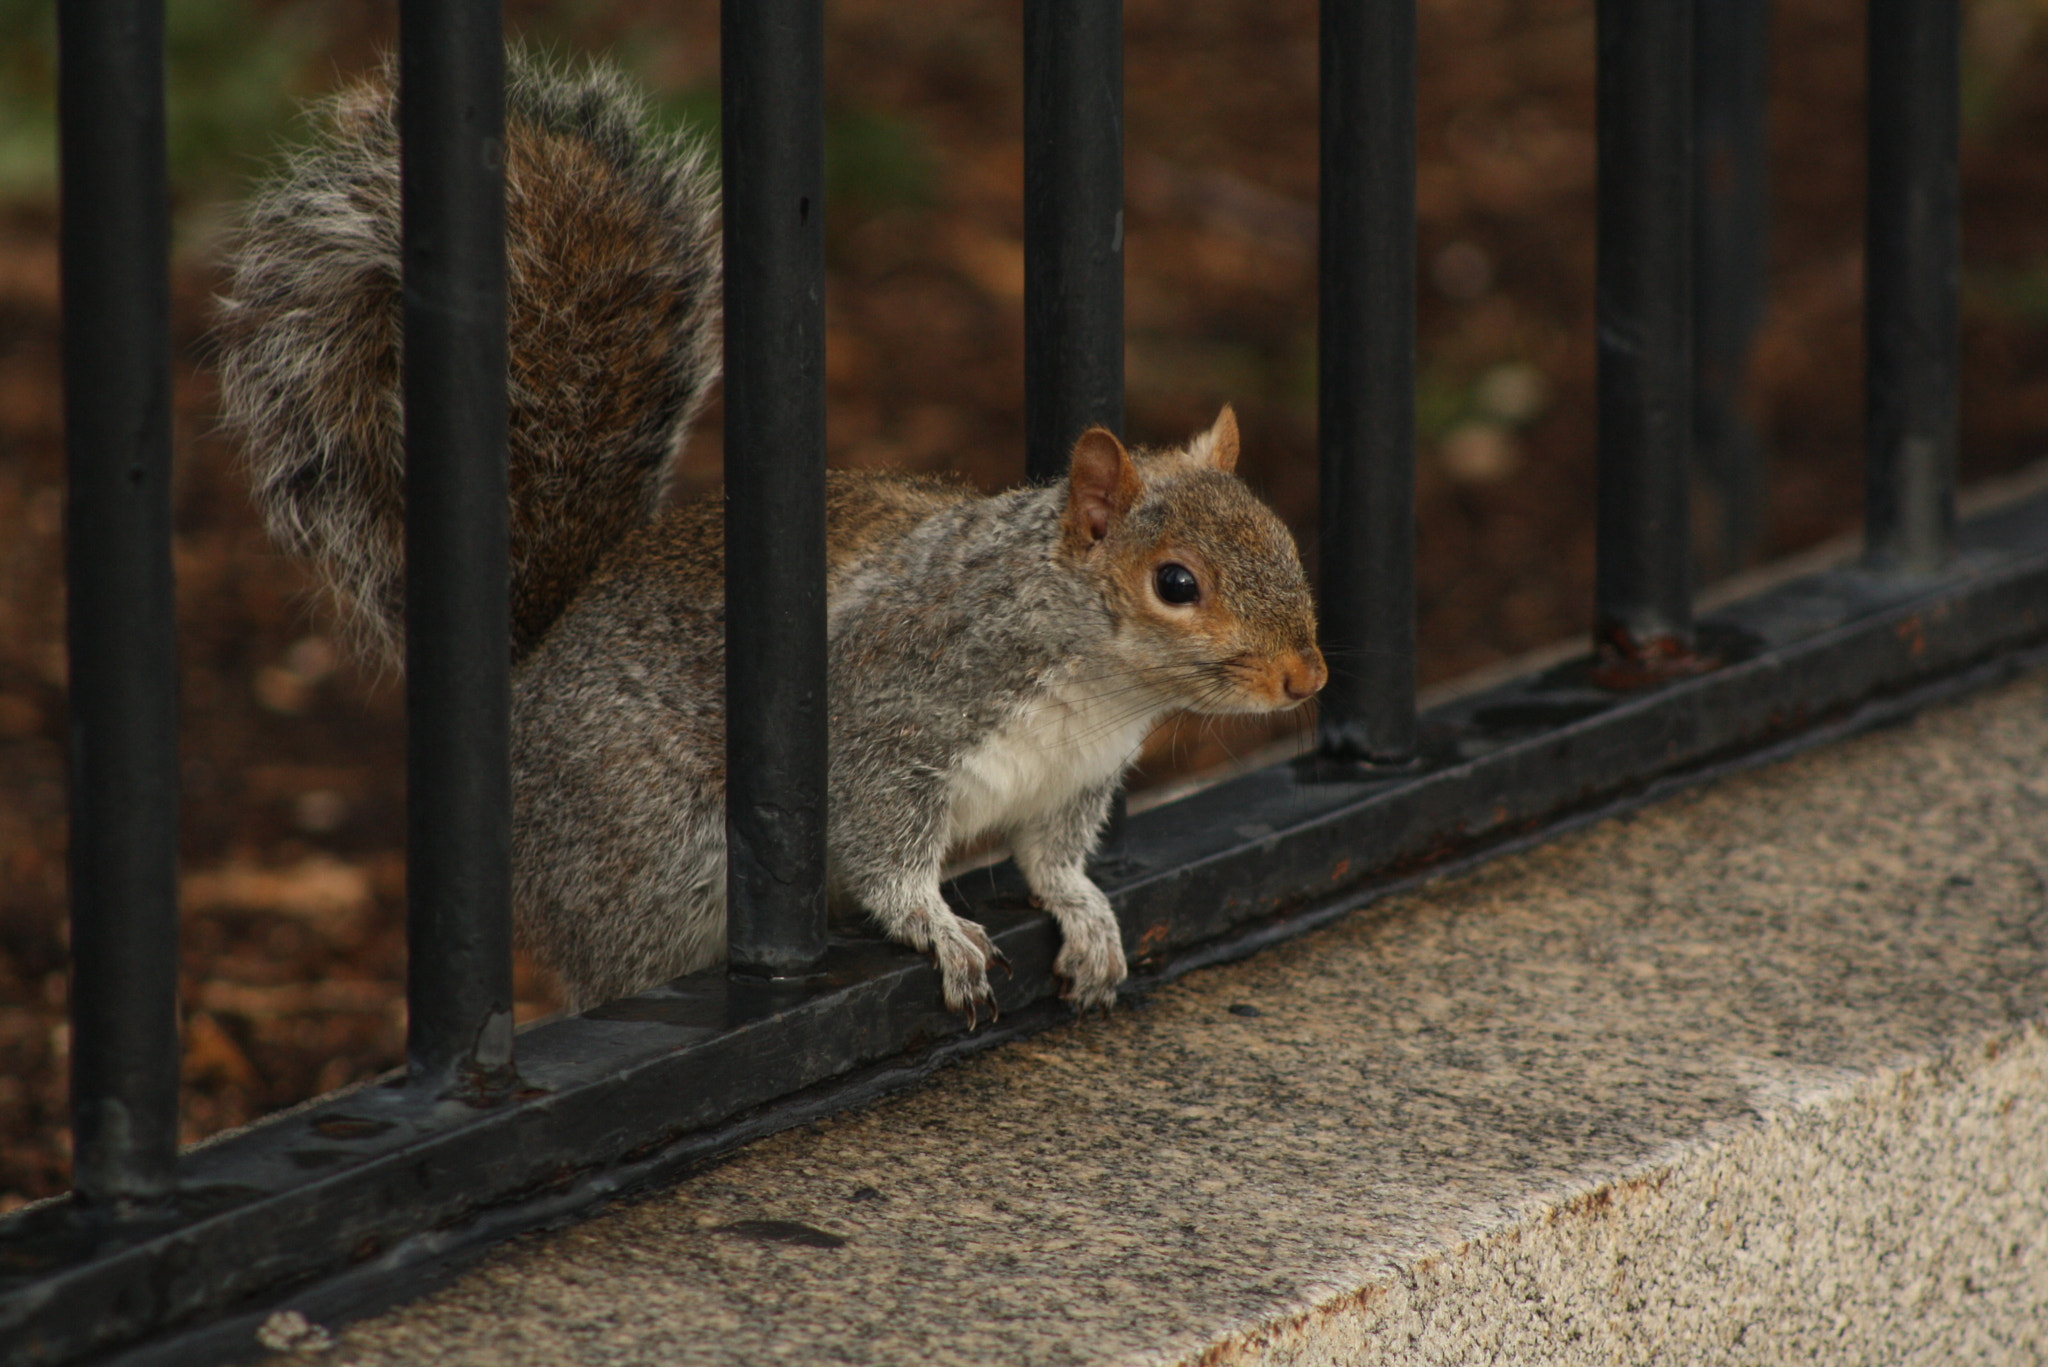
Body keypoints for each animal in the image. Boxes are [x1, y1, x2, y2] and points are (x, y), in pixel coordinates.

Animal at [214, 50, 1328, 1019]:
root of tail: (530, 678)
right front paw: (937, 925)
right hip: (652, 862)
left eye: (1284, 541)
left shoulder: (1071, 786)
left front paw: (1087, 917)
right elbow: (886, 851)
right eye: (1175, 583)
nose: (1305, 679)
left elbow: (1051, 863)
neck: (1094, 684)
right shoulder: (889, 718)